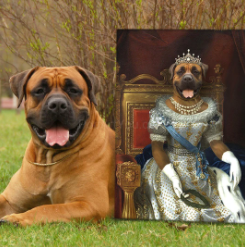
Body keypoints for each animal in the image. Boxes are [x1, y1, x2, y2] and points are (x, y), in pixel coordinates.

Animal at [0, 65, 115, 226]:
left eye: (73, 90)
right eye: (39, 90)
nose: (57, 104)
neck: (49, 161)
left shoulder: (89, 204)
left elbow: (46, 209)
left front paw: (17, 218)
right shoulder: (9, 200)